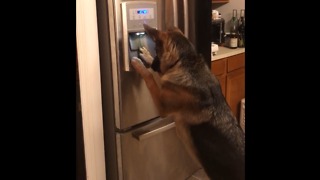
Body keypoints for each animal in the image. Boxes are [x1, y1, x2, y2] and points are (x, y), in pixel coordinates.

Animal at [130, 24, 245, 180]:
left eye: (157, 50)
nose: (153, 64)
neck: (185, 60)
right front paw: (146, 55)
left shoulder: (162, 105)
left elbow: (150, 78)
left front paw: (140, 66)